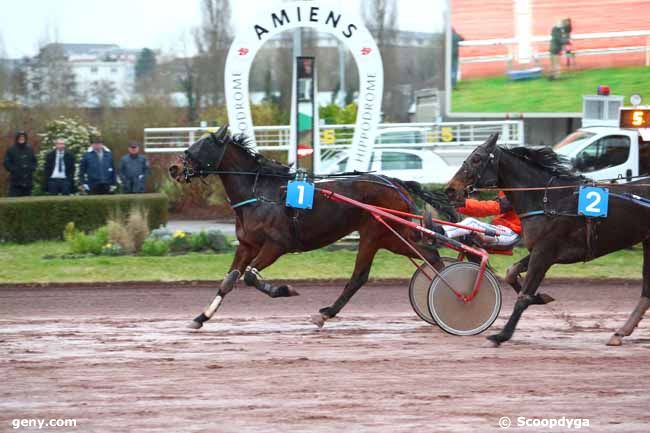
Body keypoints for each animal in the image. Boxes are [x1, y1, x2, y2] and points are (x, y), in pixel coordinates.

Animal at [168, 124, 456, 328]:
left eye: (201, 146)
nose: (173, 167)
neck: (260, 191)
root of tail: (394, 182)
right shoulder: (247, 245)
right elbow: (228, 281)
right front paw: (201, 317)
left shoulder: (277, 244)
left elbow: (250, 276)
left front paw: (285, 290)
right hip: (388, 236)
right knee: (400, 263)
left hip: (380, 233)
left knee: (394, 264)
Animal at [442, 133, 648, 346]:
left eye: (476, 159)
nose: (450, 190)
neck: (548, 199)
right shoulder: (539, 250)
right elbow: (511, 272)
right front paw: (540, 297)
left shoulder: (545, 252)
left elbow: (523, 296)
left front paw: (502, 334)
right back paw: (620, 333)